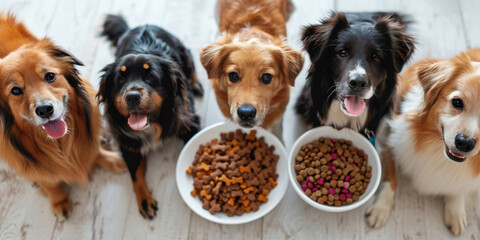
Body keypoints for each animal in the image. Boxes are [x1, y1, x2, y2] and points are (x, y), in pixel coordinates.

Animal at [0, 12, 125, 219]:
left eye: (50, 76)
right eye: (16, 90)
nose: (45, 110)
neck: (60, 144)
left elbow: (93, 150)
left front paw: (112, 160)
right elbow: (49, 182)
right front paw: (58, 200)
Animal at [97, 14, 202, 218]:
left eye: (151, 77)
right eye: (121, 79)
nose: (132, 96)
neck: (153, 123)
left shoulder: (189, 122)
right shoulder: (127, 142)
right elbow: (135, 173)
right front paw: (144, 200)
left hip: (183, 51)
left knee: (191, 64)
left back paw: (196, 84)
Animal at [364, 47, 480, 235]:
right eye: (457, 102)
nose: (464, 143)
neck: (435, 148)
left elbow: (458, 186)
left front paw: (456, 212)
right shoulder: (389, 140)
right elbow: (391, 177)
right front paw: (380, 209)